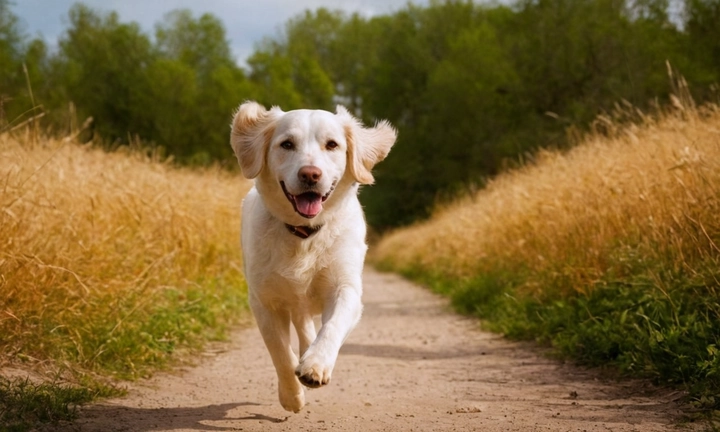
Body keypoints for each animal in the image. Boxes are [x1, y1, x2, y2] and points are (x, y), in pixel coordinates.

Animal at [229, 100, 396, 412]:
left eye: (332, 145)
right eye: (287, 144)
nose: (310, 174)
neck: (304, 235)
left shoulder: (346, 288)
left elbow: (331, 327)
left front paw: (315, 366)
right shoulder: (264, 301)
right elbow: (281, 353)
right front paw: (291, 396)